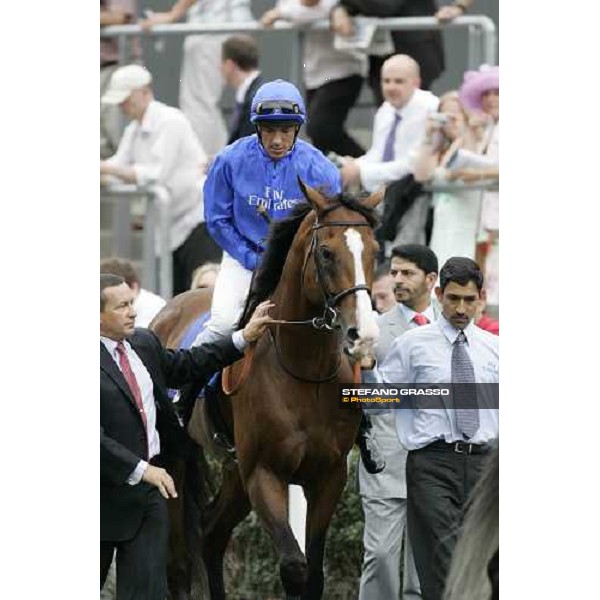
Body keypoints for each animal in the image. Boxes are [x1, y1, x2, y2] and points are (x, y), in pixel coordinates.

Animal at [152, 183, 382, 600]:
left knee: (211, 533)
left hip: (233, 470)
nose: (364, 334)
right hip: (175, 461)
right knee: (177, 564)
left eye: (374, 251)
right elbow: (294, 567)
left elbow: (314, 574)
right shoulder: (264, 473)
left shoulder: (328, 476)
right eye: (326, 252)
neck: (304, 371)